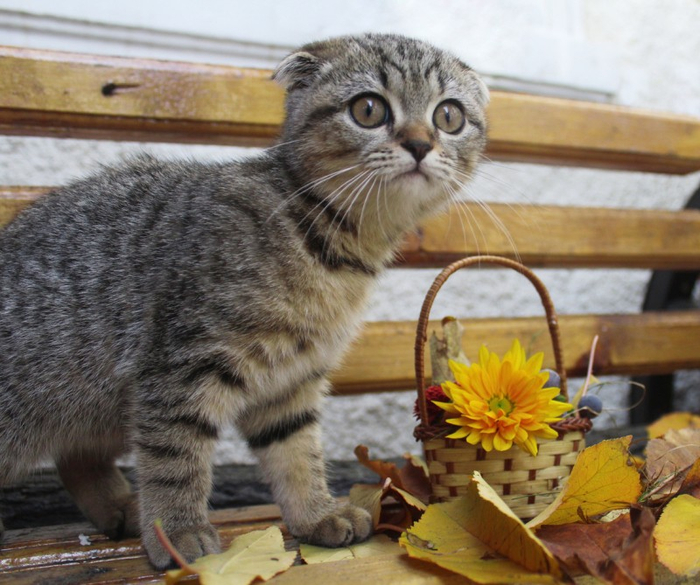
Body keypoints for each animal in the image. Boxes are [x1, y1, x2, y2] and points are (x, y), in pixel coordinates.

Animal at [0, 33, 486, 564]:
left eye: (448, 116)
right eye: (369, 109)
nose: (420, 143)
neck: (331, 248)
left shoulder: (292, 380)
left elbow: (296, 451)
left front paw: (316, 514)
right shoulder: (182, 362)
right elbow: (175, 455)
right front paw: (177, 529)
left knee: (76, 458)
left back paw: (120, 508)